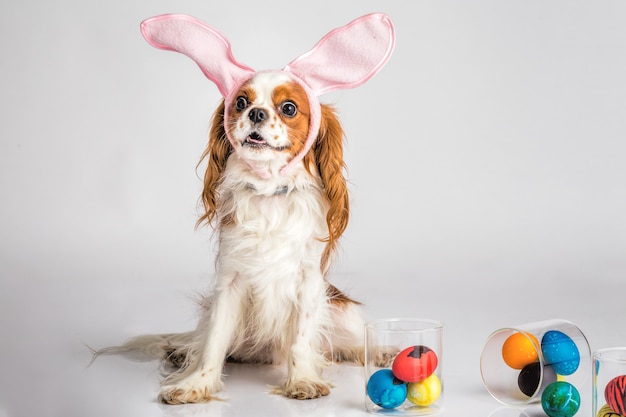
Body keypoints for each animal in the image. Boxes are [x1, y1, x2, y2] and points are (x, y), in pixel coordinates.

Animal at [94, 12, 390, 404]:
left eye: (288, 108)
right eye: (240, 102)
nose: (256, 113)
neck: (269, 192)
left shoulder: (308, 281)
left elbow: (301, 339)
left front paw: (302, 381)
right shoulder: (230, 282)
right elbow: (214, 341)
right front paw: (196, 384)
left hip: (341, 310)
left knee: (350, 342)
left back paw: (382, 350)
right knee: (202, 340)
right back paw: (181, 352)